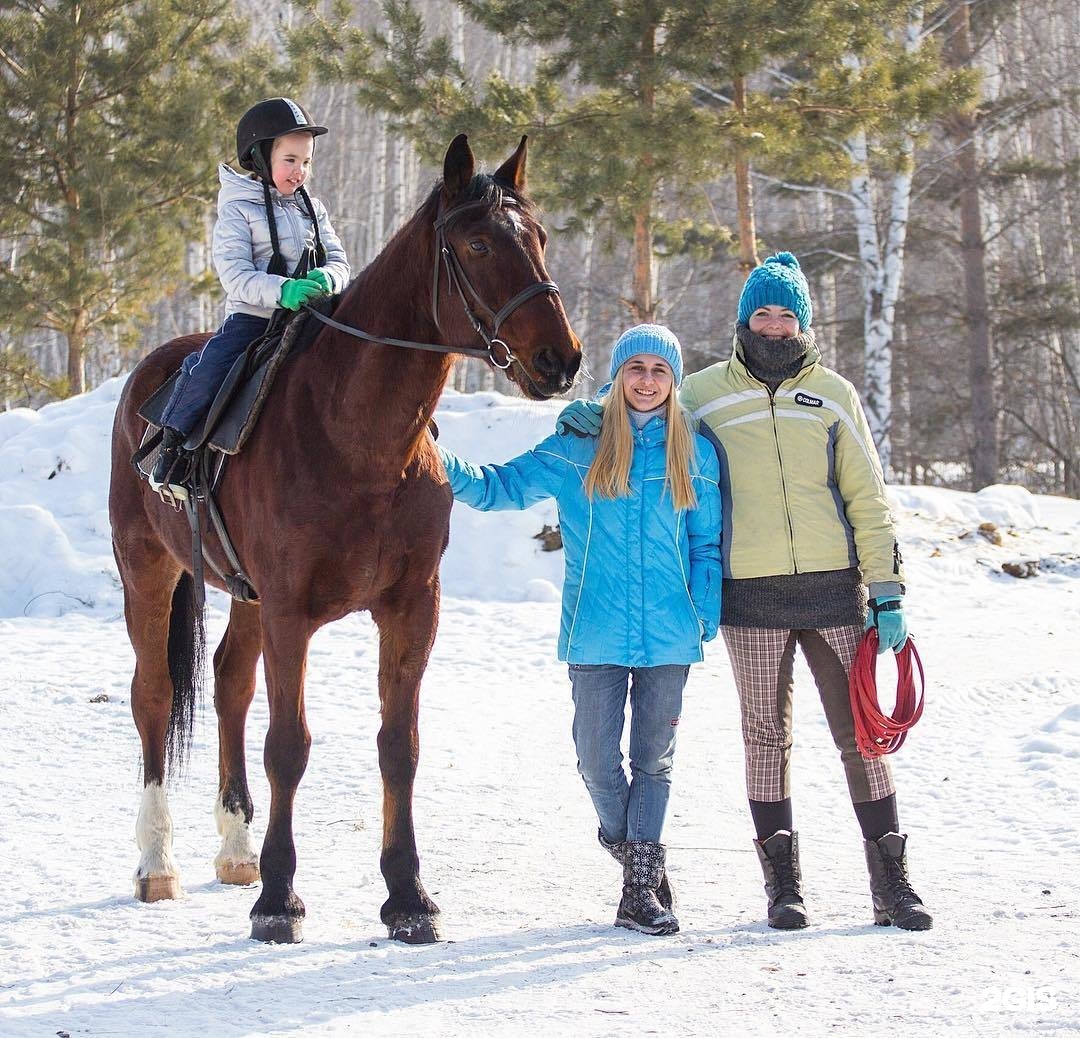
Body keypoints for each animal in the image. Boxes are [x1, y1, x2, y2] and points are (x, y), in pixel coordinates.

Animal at [108, 133, 583, 941]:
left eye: (542, 238)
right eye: (478, 242)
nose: (562, 359)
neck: (357, 439)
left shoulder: (410, 608)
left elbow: (400, 747)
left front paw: (407, 895)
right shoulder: (291, 612)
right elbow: (289, 747)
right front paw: (279, 900)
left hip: (246, 597)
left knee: (230, 683)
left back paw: (235, 847)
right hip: (148, 571)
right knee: (154, 696)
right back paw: (154, 861)